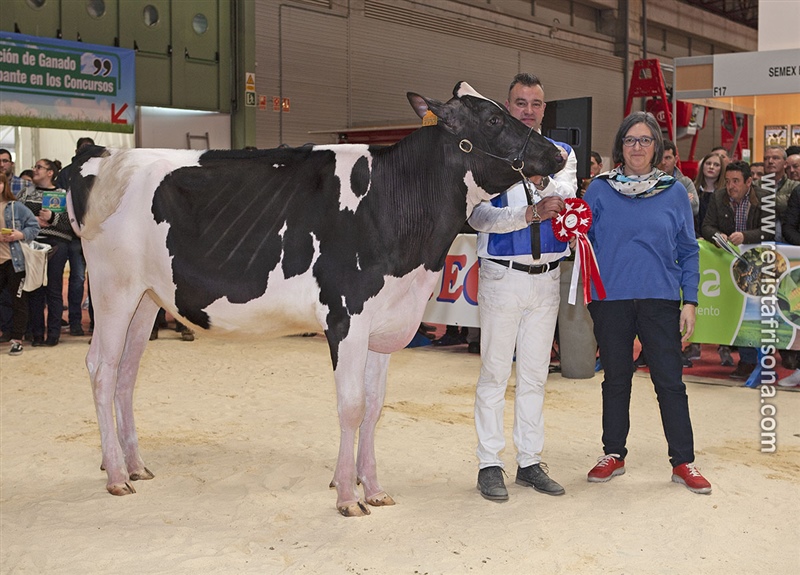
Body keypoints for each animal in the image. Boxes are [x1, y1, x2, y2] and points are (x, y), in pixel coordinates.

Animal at [69, 81, 564, 516]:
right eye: (493, 118)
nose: (558, 153)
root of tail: (104, 155)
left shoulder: (384, 323)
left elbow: (374, 407)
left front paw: (375, 489)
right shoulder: (346, 316)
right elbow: (351, 407)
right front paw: (347, 496)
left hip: (147, 297)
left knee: (127, 372)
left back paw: (134, 465)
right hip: (113, 289)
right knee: (101, 368)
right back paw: (117, 475)